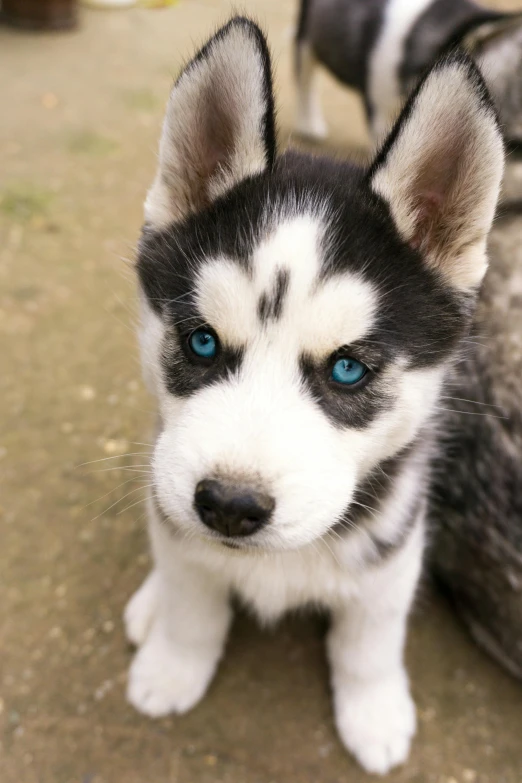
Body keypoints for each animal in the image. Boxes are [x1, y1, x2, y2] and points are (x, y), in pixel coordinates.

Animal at [121, 15, 500, 776]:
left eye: (348, 370)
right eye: (201, 341)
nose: (229, 505)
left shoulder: (393, 547)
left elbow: (369, 641)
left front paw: (374, 711)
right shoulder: (176, 517)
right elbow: (190, 600)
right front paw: (173, 665)